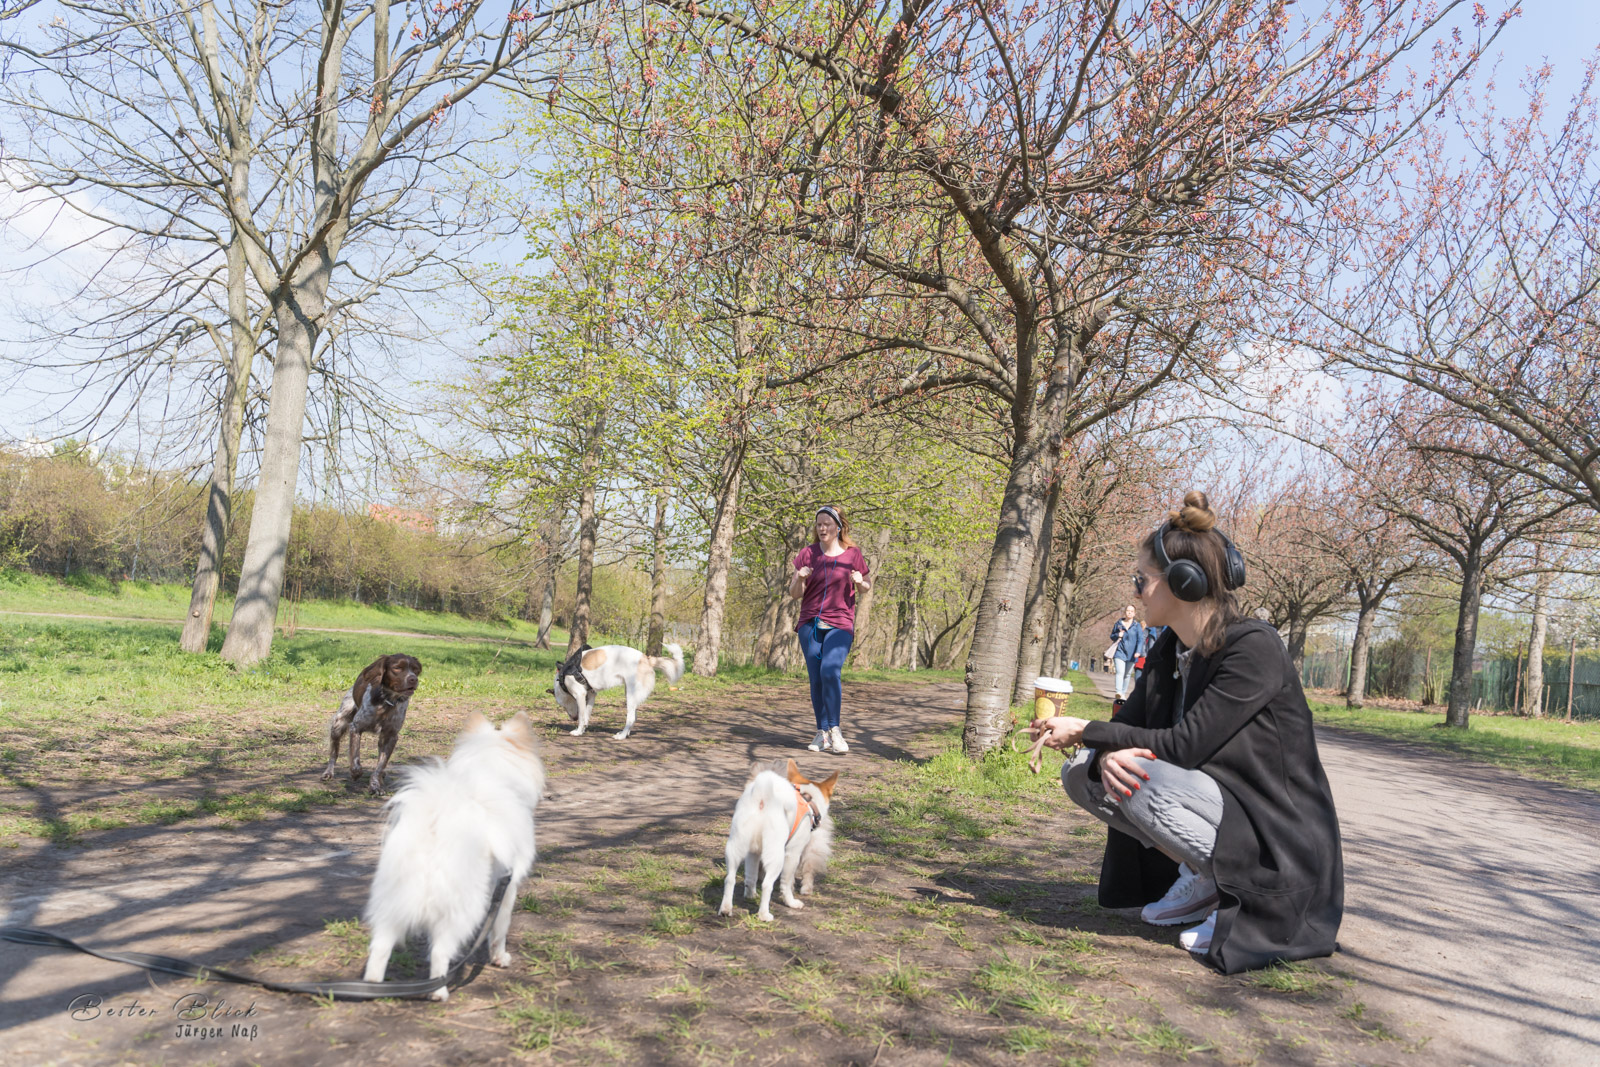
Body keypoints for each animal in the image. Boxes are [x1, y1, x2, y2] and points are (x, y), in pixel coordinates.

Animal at [361, 710, 547, 1004]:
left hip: (392, 898)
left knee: (380, 946)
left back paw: (373, 987)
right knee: (439, 951)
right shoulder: (508, 885)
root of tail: (434, 826)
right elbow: (500, 929)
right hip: (463, 908)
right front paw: (500, 958)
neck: (489, 769)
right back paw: (438, 991)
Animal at [553, 643, 684, 742]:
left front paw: (578, 732)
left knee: (631, 718)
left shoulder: (580, 695)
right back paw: (625, 733)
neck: (563, 676)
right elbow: (586, 716)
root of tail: (647, 659)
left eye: (562, 706)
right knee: (634, 717)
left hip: (630, 695)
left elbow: (581, 716)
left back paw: (621, 736)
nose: (572, 718)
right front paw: (583, 730)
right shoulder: (591, 695)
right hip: (630, 695)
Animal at [716, 758, 838, 927]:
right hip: (776, 856)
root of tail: (762, 797)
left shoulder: (754, 853)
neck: (807, 798)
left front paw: (750, 895)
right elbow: (787, 882)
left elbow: (751, 876)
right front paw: (790, 901)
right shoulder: (792, 853)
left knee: (730, 879)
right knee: (767, 885)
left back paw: (726, 909)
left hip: (735, 847)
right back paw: (764, 915)